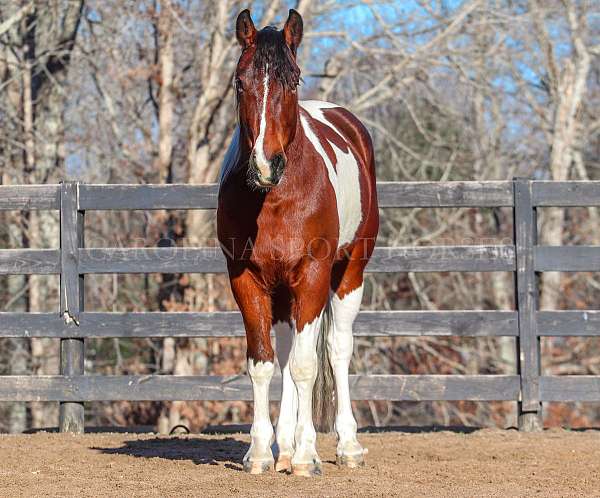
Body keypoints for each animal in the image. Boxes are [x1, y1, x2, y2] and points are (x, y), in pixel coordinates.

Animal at [218, 7, 380, 474]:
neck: (275, 199)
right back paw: (283, 447)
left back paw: (345, 446)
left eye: (292, 81)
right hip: (283, 292)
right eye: (240, 82)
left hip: (349, 274)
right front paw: (259, 451)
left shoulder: (312, 275)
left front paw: (308, 455)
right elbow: (263, 363)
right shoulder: (247, 279)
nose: (264, 165)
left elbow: (307, 366)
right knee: (288, 355)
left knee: (337, 350)